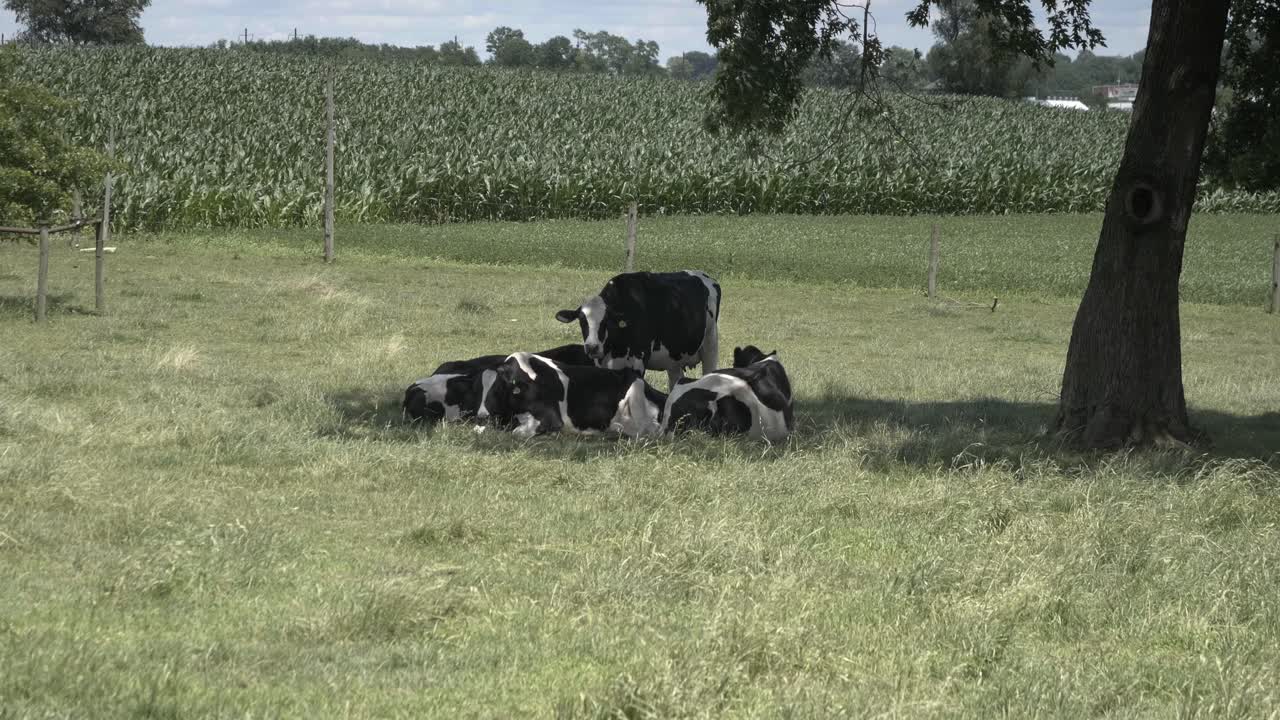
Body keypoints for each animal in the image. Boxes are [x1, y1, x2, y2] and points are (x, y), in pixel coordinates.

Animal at [476, 352, 667, 439]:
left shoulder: (551, 418)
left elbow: (516, 432)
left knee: (650, 430)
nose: (482, 414)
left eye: (498, 389)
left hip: (636, 396)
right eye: (481, 389)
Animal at [555, 270, 721, 390]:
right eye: (582, 321)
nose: (592, 347)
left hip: (710, 344)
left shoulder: (638, 362)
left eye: (606, 322)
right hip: (673, 358)